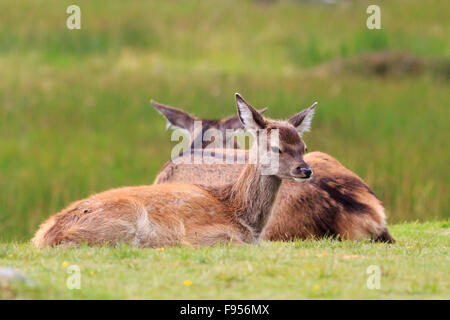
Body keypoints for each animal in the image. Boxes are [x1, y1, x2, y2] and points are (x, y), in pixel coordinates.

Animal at [31, 92, 314, 248]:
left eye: (303, 146)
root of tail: (45, 237)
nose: (305, 170)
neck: (242, 214)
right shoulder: (204, 234)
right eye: (276, 147)